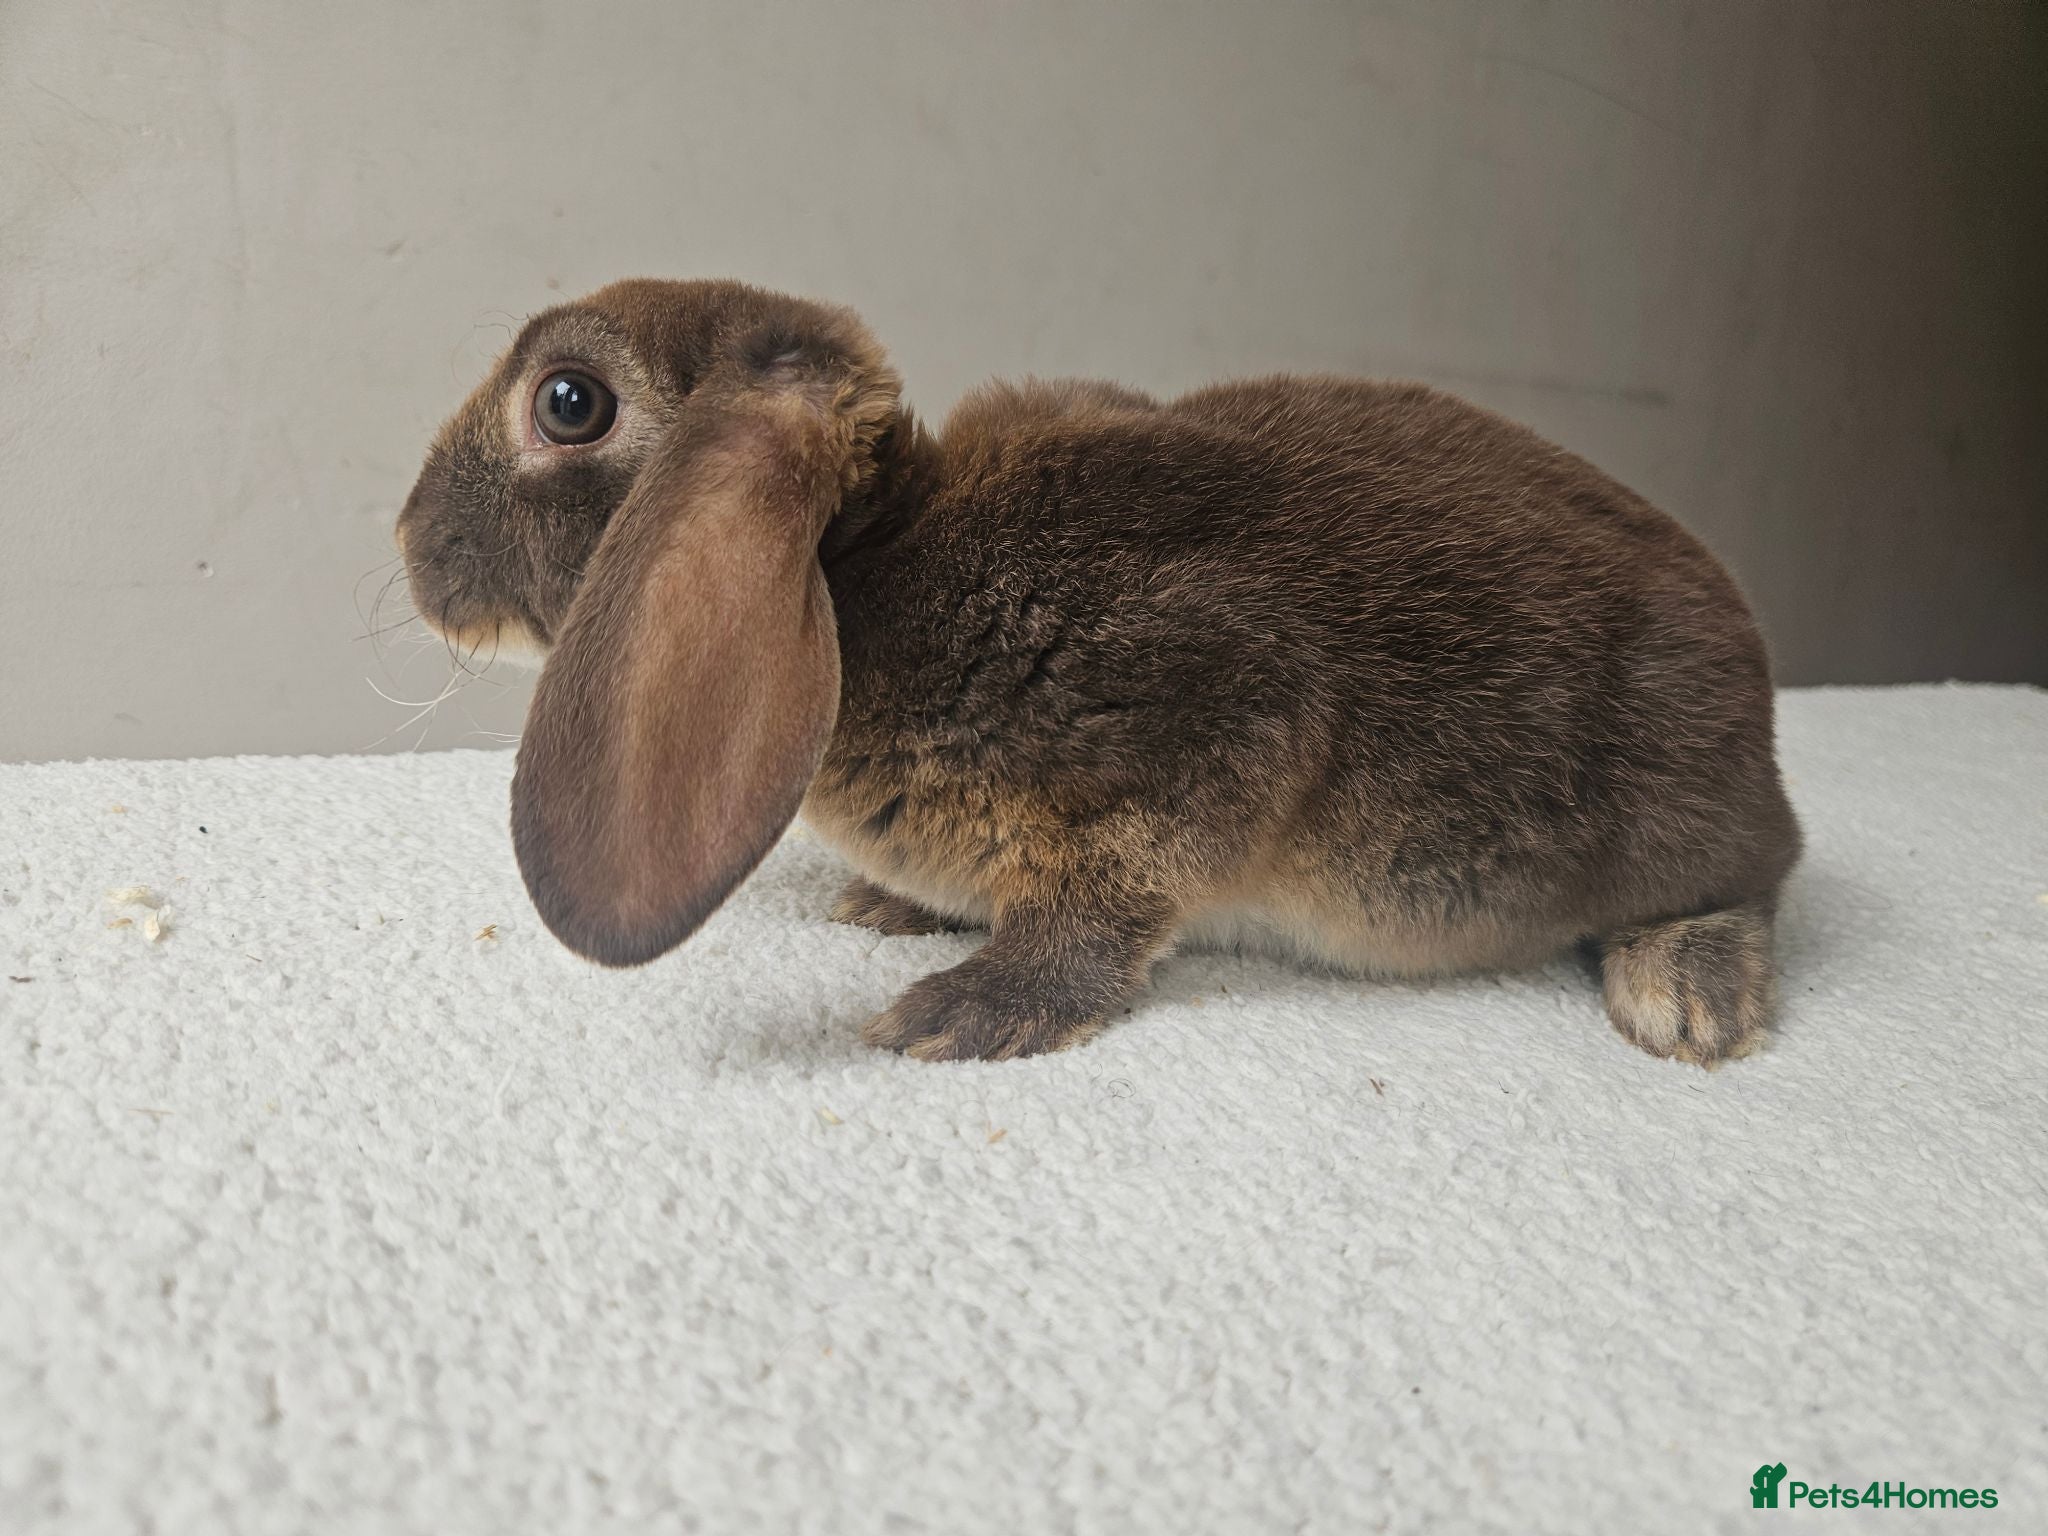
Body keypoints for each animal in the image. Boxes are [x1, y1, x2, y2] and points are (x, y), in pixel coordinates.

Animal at [397, 278, 1801, 1066]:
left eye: (569, 402)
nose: (411, 545)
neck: (872, 569)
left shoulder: (1210, 717)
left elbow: (1109, 897)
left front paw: (966, 1011)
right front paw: (892, 908)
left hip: (1662, 809)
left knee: (1753, 880)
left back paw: (1684, 997)